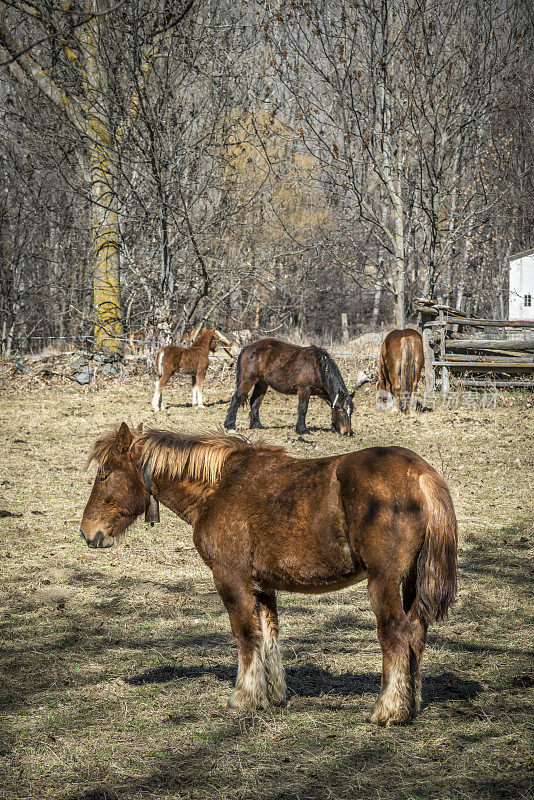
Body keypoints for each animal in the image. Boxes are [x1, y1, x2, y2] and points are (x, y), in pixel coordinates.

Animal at [222, 340, 364, 438]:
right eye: (341, 411)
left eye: (351, 412)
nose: (347, 433)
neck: (318, 367)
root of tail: (248, 347)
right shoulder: (304, 390)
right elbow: (303, 409)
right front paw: (302, 430)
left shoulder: (324, 393)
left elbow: (330, 407)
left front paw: (334, 428)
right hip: (248, 380)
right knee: (237, 398)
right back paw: (230, 425)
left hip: (262, 383)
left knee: (255, 402)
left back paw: (256, 425)